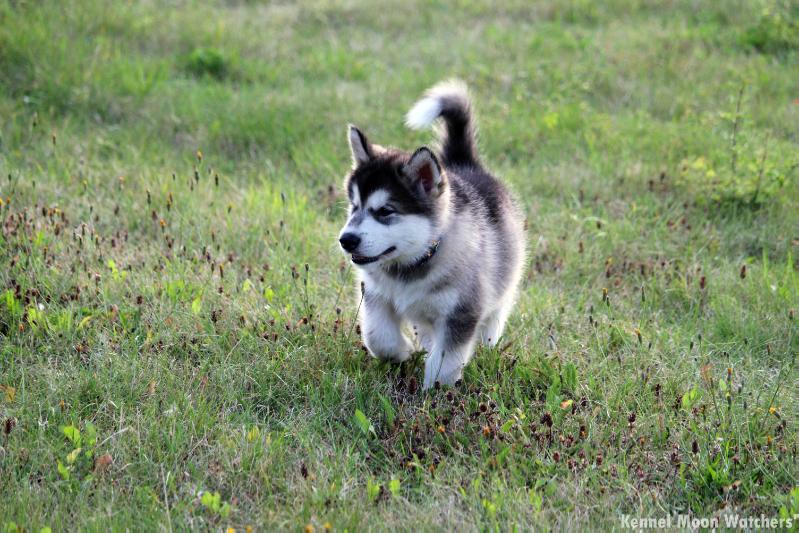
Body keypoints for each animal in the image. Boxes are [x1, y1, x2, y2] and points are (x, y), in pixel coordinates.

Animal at [340, 80, 528, 386]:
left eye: (385, 211)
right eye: (354, 206)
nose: (346, 240)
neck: (414, 263)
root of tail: (465, 164)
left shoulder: (462, 310)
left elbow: (446, 358)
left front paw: (436, 388)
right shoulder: (376, 293)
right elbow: (377, 335)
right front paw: (400, 353)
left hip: (503, 280)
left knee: (495, 315)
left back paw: (488, 345)